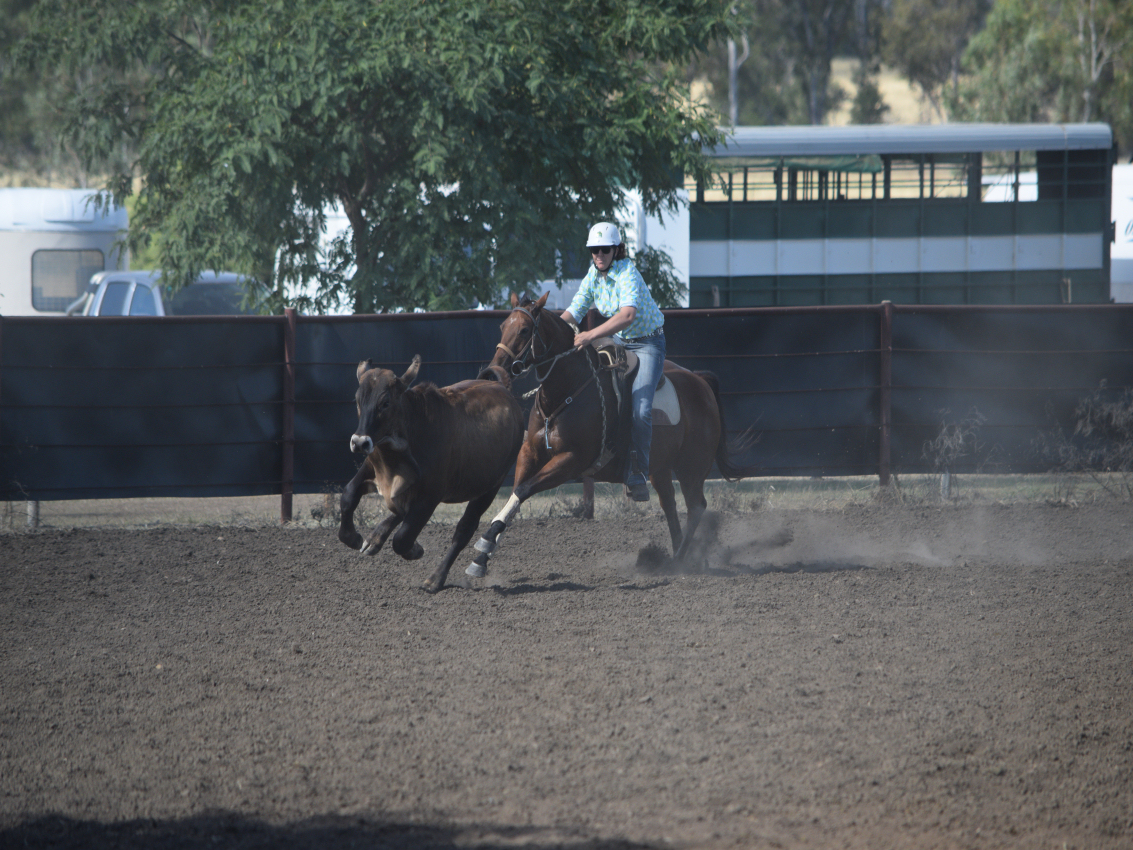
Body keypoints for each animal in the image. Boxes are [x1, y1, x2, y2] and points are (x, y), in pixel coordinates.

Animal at [339, 355, 525, 593]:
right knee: (399, 510)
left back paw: (436, 578)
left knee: (464, 529)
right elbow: (348, 495)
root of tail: (501, 387)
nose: (359, 442)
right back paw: (375, 539)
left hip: (490, 486)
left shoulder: (430, 497)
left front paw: (415, 550)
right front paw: (353, 538)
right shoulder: (372, 467)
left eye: (385, 403)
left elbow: (403, 538)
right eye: (358, 400)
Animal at [470, 292, 759, 576]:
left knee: (696, 507)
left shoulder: (572, 460)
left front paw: (484, 545)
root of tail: (701, 382)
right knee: (670, 505)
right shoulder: (529, 452)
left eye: (524, 330)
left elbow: (524, 489)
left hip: (692, 468)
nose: (492, 372)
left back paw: (679, 562)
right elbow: (516, 492)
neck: (569, 390)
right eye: (503, 326)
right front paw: (482, 555)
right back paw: (679, 556)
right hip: (660, 469)